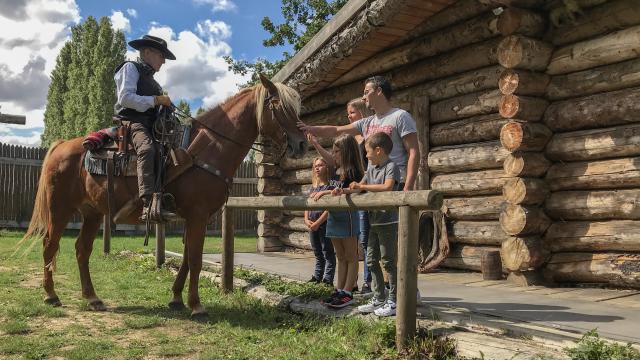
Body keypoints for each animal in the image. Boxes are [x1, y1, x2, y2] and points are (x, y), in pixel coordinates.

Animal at [22, 74, 304, 316]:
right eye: (278, 105)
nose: (300, 144)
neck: (206, 150)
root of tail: (61, 146)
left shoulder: (195, 218)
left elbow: (188, 258)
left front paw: (177, 298)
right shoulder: (198, 215)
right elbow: (196, 259)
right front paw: (196, 305)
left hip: (92, 213)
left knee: (82, 250)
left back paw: (92, 298)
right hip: (59, 209)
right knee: (50, 245)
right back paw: (51, 295)